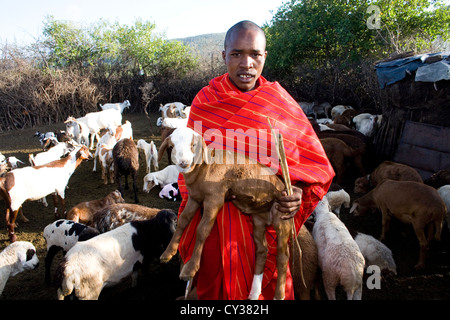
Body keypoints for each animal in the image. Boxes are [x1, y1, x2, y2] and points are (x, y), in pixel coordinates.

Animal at [159, 125, 296, 300]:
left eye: (193, 145)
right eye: (172, 146)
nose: (184, 162)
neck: (203, 168)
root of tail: (282, 185)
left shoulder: (214, 198)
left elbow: (202, 230)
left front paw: (190, 269)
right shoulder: (195, 198)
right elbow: (183, 220)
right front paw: (168, 253)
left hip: (282, 217)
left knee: (283, 255)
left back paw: (278, 294)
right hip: (258, 219)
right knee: (262, 250)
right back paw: (254, 292)